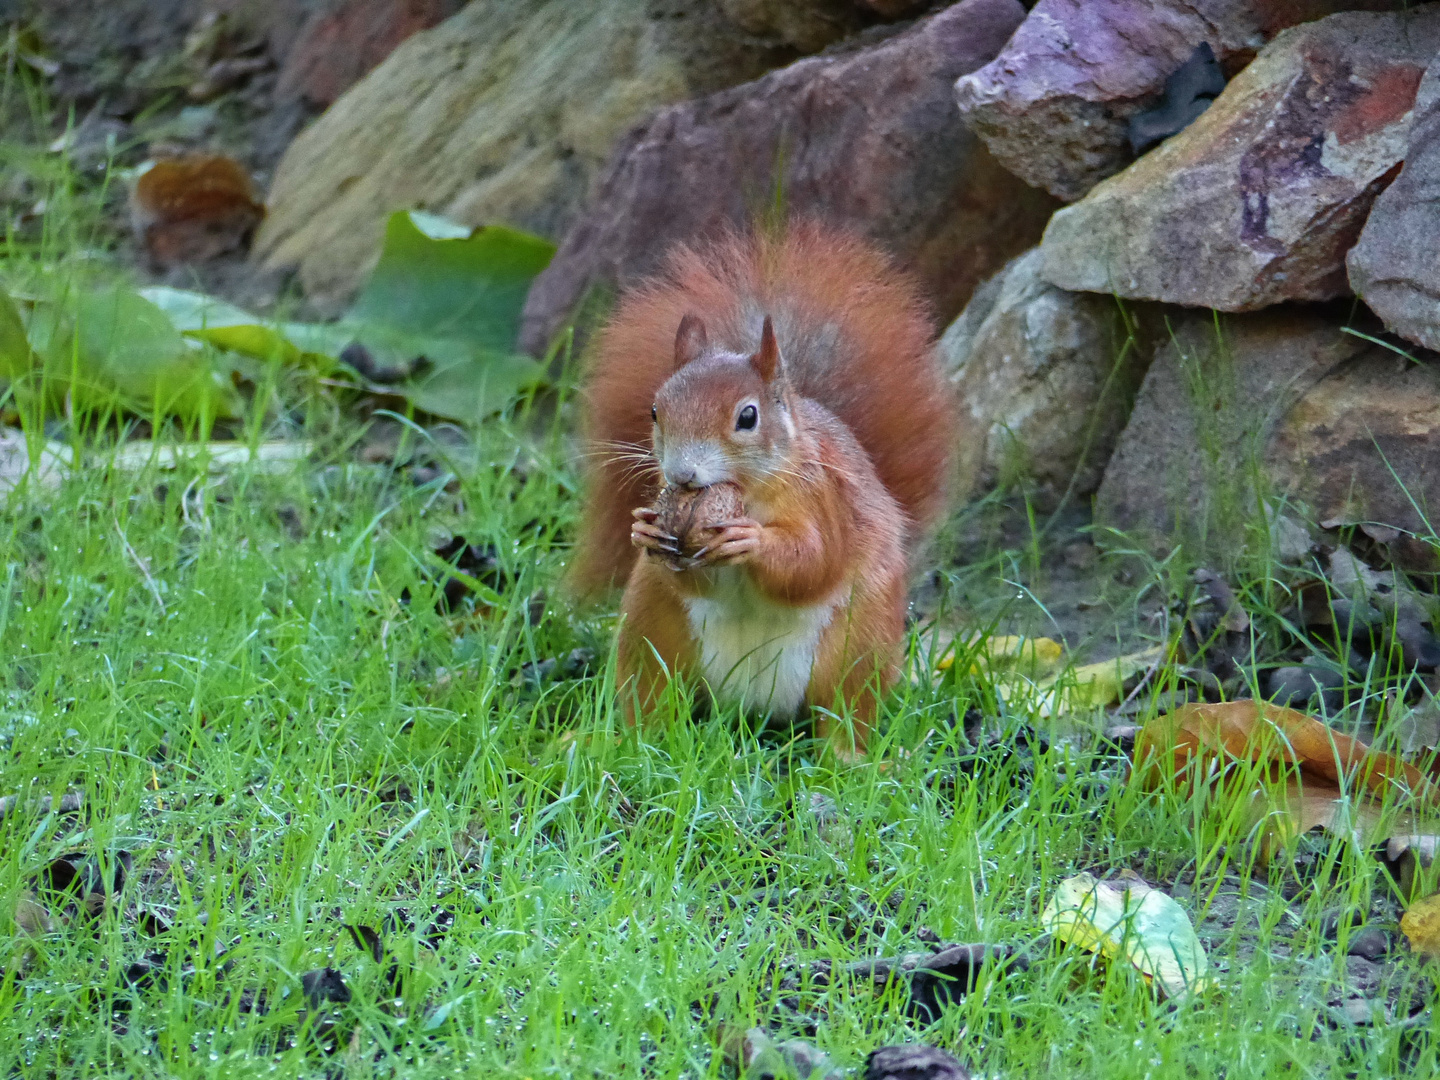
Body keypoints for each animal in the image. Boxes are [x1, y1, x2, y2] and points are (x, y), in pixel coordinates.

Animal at [573, 224, 956, 754]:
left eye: (748, 417)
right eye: (655, 410)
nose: (682, 474)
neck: (746, 493)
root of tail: (753, 707)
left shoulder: (825, 499)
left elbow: (814, 562)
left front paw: (750, 540)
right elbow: (690, 574)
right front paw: (644, 530)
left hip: (858, 646)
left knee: (846, 711)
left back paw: (854, 758)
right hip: (651, 629)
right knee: (651, 696)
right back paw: (619, 741)